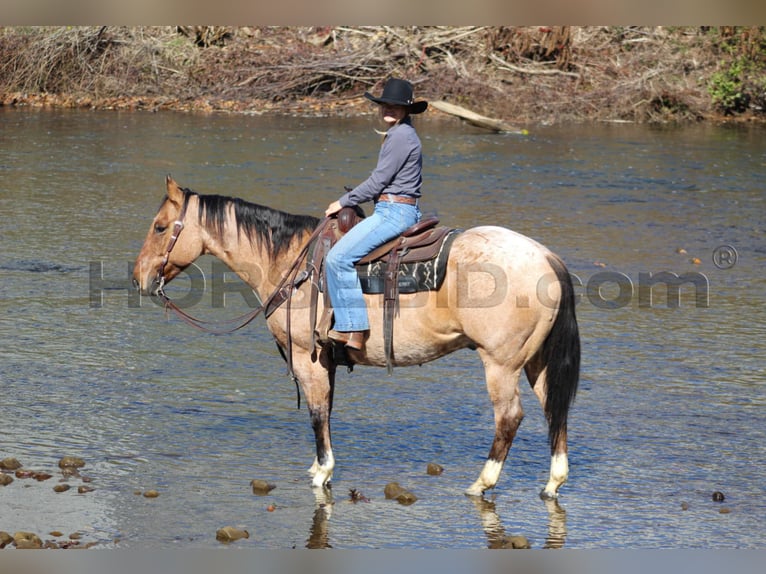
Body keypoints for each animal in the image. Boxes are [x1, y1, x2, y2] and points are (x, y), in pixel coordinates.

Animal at [134, 176, 584, 500]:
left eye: (159, 227)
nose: (140, 278)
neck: (291, 262)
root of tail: (546, 257)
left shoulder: (307, 356)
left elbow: (317, 413)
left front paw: (322, 472)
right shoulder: (327, 359)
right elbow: (327, 411)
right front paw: (319, 467)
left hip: (500, 364)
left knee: (509, 418)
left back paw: (482, 483)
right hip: (535, 362)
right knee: (554, 409)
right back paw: (553, 483)